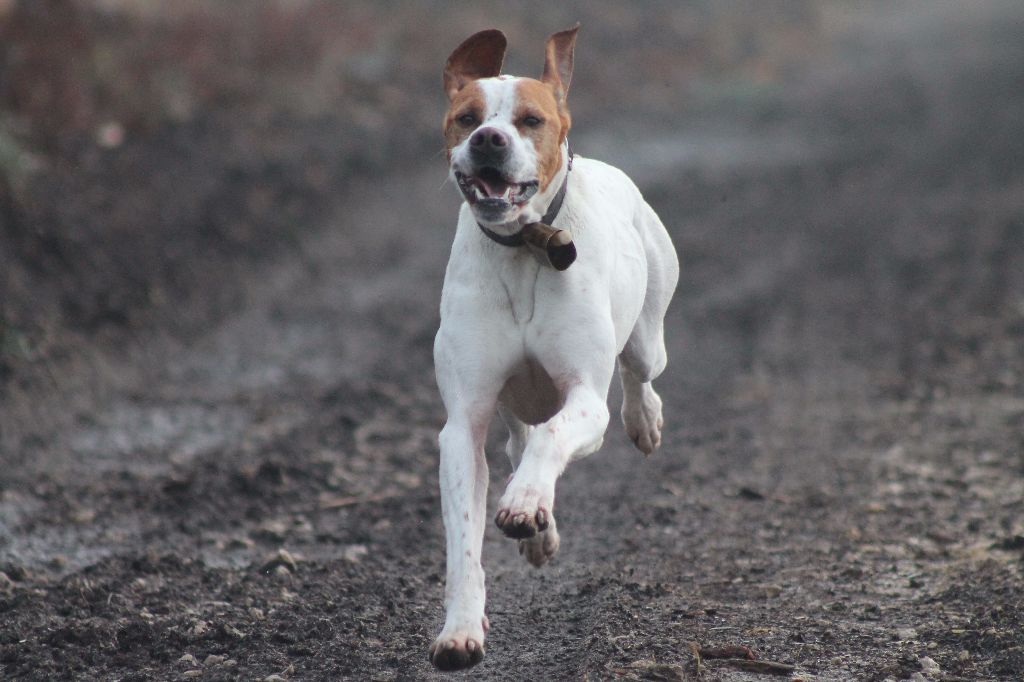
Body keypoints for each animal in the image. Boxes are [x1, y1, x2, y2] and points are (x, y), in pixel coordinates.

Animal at [430, 26, 679, 667]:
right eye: (467, 118)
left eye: (530, 119)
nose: (489, 138)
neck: (526, 247)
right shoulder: (463, 423)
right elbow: (464, 539)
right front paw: (461, 629)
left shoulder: (585, 396)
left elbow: (554, 436)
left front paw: (523, 504)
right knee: (519, 442)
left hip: (648, 332)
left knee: (638, 371)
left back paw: (644, 420)